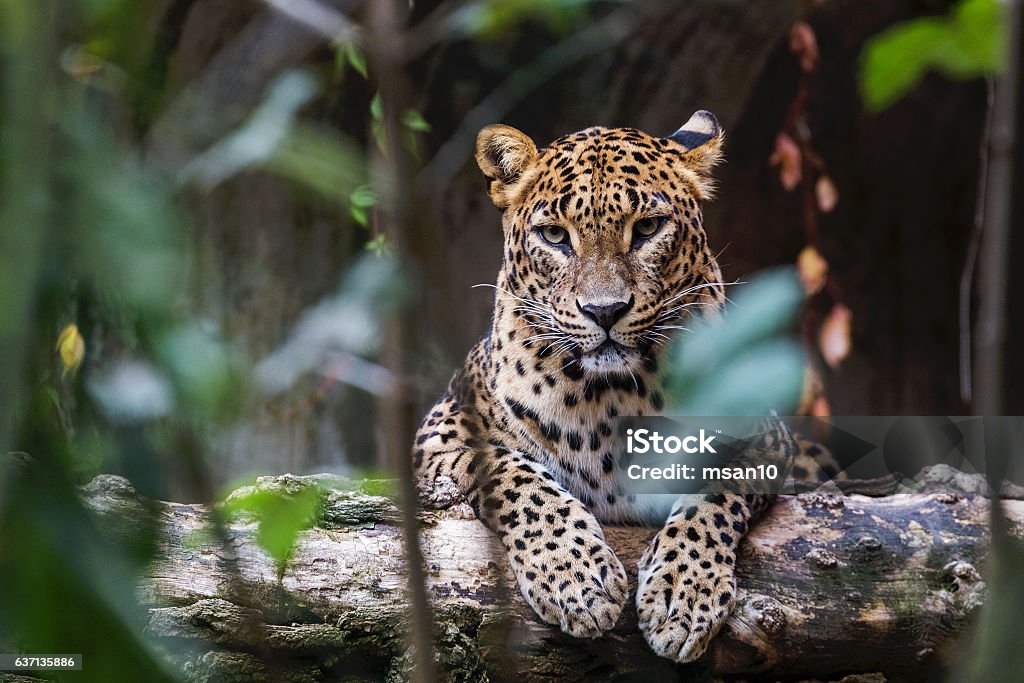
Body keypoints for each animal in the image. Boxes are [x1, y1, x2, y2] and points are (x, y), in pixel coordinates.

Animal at [413, 111, 790, 663]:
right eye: (554, 235)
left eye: (648, 228)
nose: (605, 310)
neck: (611, 397)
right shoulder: (439, 437)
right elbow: (514, 474)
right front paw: (577, 579)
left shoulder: (764, 435)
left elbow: (715, 496)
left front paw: (683, 596)